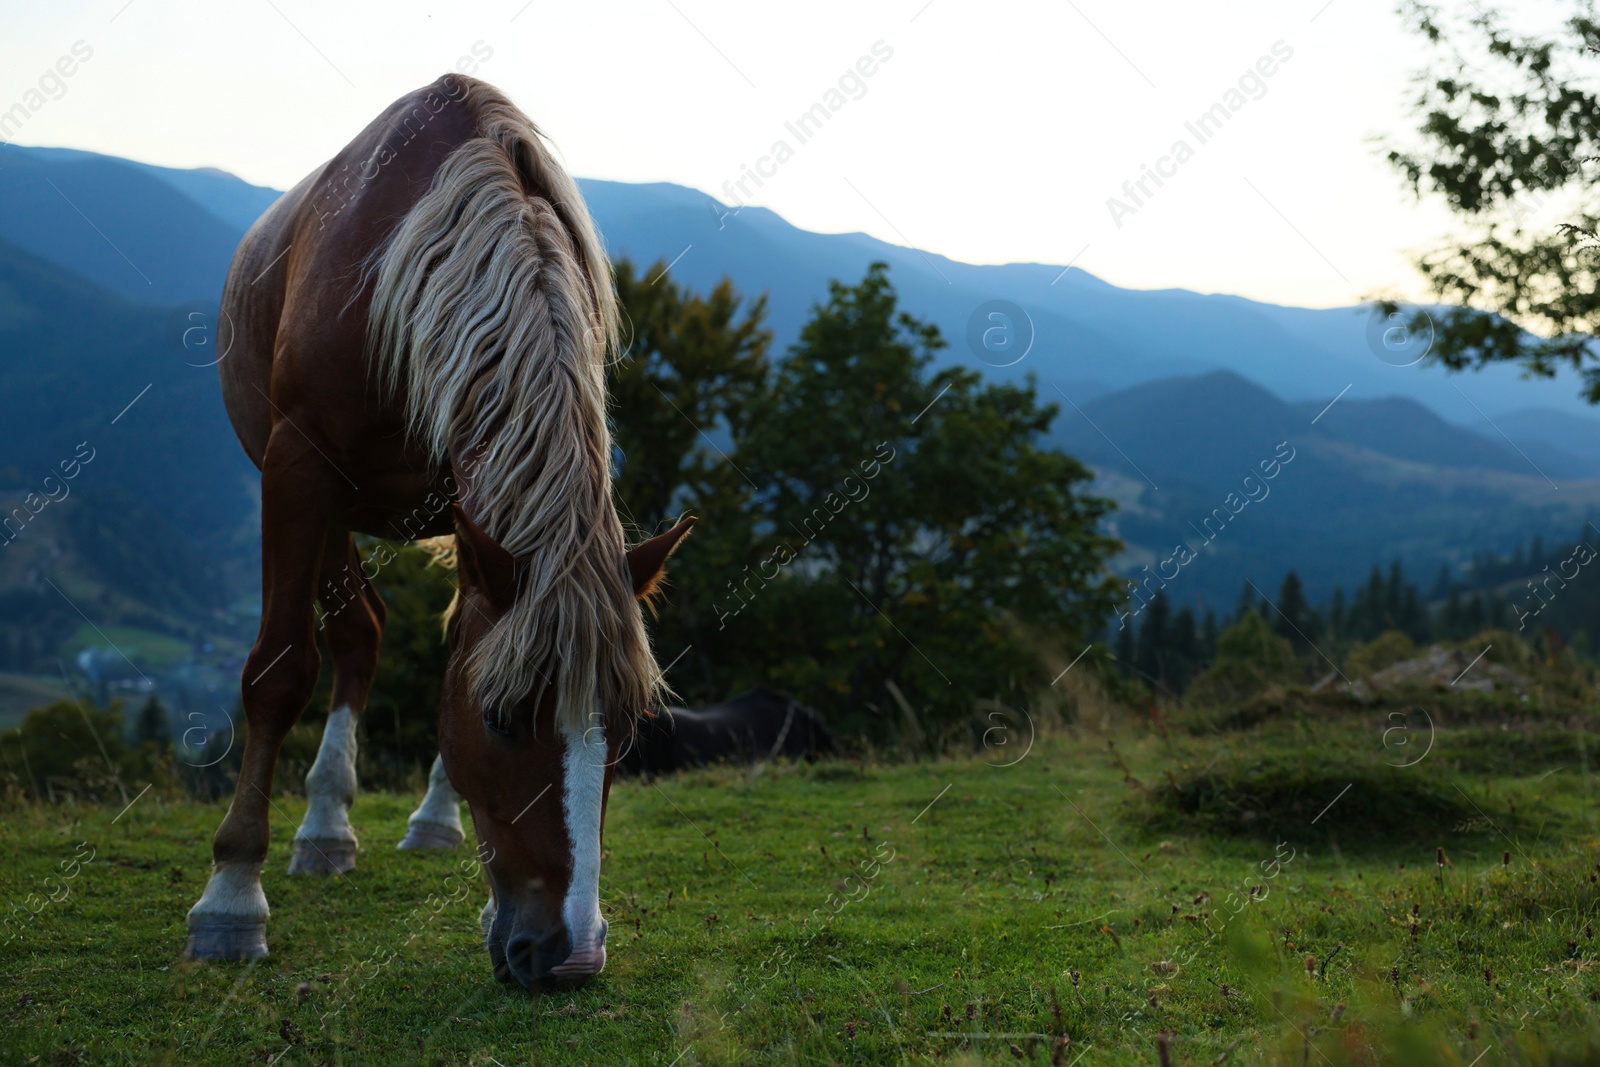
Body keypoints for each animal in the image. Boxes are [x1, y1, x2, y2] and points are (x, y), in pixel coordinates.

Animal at [183, 77, 694, 991]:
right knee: (351, 632)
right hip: (321, 496)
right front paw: (231, 895)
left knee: (377, 629)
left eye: (628, 726)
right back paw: (319, 831)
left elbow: (459, 642)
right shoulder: (298, 463)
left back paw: (393, 819)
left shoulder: (472, 493)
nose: (572, 954)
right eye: (501, 719)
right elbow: (280, 669)